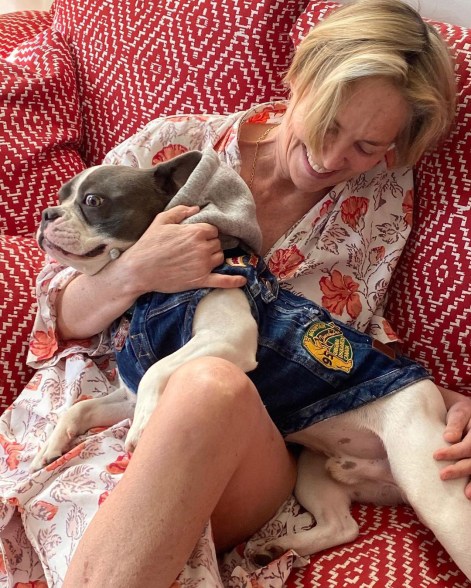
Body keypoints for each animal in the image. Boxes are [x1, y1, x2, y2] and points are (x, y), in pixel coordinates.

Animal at [32, 149, 471, 576]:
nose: (48, 214)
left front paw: (141, 428)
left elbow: (158, 370)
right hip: (315, 472)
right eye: (61, 196)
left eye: (94, 201)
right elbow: (82, 407)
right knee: (342, 526)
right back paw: (276, 548)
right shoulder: (130, 393)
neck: (150, 295)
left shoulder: (229, 337)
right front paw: (49, 448)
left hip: (428, 481)